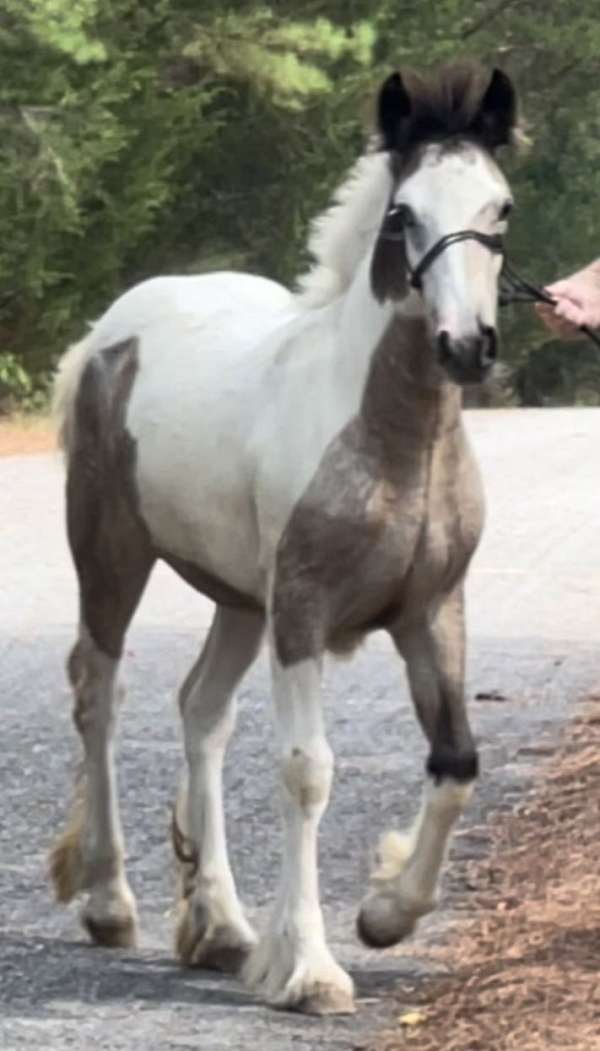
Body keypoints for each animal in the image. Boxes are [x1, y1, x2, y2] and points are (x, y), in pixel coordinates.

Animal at [50, 61, 521, 1013]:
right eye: (402, 213)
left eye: (501, 208)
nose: (465, 345)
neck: (394, 440)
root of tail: (104, 335)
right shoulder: (302, 613)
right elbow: (308, 769)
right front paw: (310, 966)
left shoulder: (432, 611)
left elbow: (455, 760)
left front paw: (384, 913)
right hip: (113, 556)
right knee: (100, 694)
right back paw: (113, 902)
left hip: (239, 595)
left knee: (202, 709)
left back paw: (221, 925)